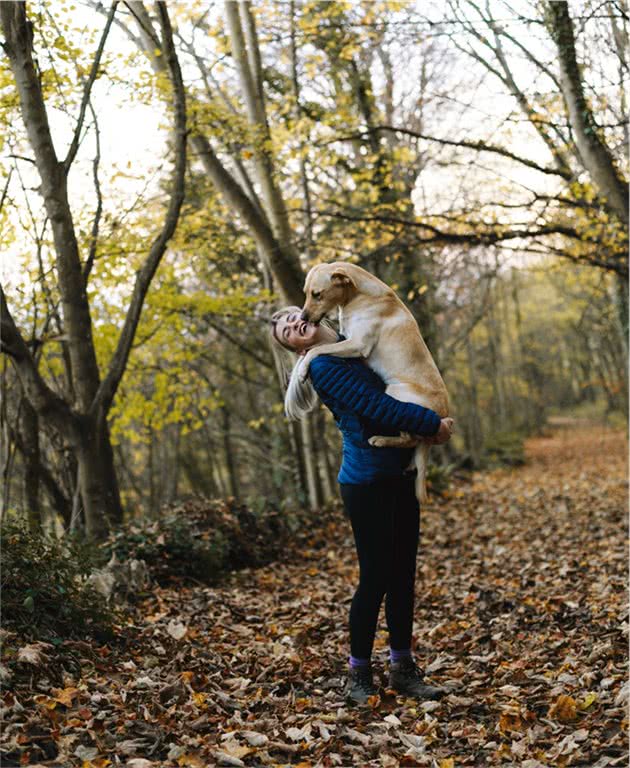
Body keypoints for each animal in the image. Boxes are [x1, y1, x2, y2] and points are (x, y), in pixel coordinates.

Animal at [300, 264, 450, 504]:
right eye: (306, 293)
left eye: (317, 294)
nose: (302, 318)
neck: (358, 296)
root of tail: (442, 414)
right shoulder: (348, 340)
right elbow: (322, 347)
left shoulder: (357, 344)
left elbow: (318, 349)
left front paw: (304, 367)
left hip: (396, 392)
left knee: (408, 439)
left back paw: (381, 440)